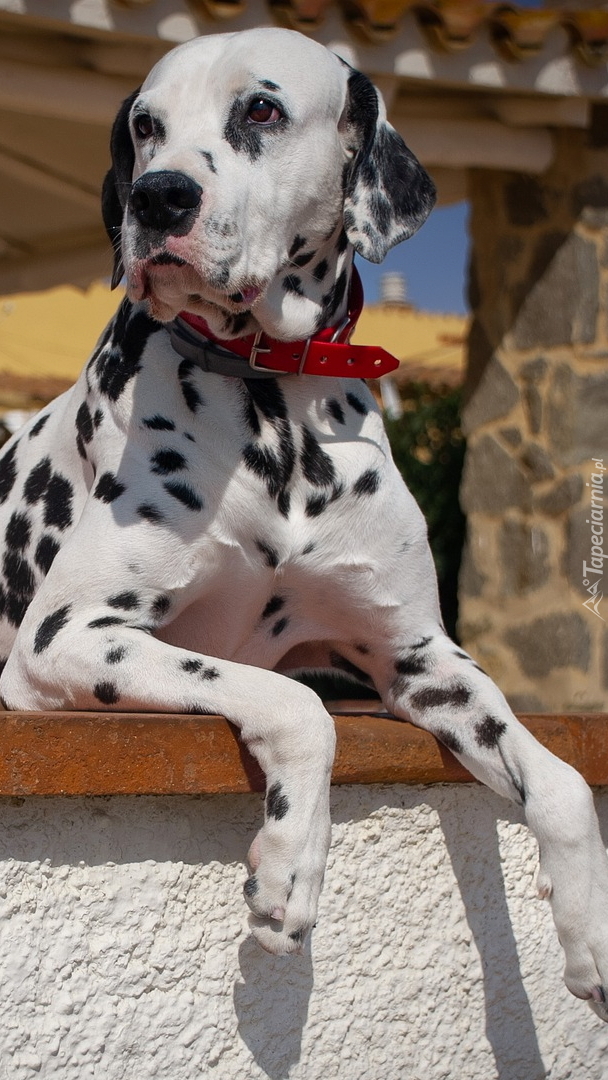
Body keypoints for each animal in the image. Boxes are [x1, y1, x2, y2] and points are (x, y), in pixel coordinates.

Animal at [0, 27, 606, 1019]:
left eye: (261, 109)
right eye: (146, 126)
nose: (157, 197)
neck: (272, 404)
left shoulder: (420, 658)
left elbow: (557, 779)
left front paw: (590, 934)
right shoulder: (67, 638)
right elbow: (300, 705)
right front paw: (290, 871)